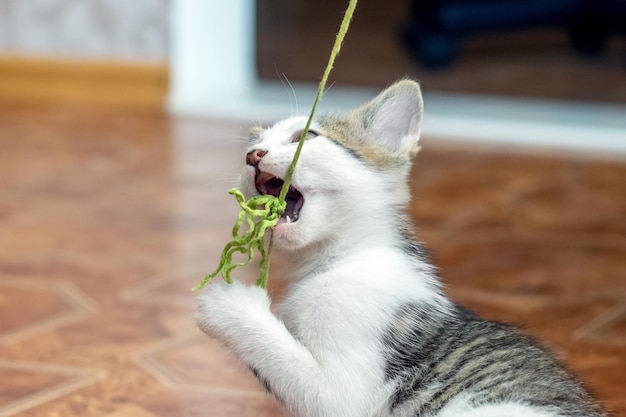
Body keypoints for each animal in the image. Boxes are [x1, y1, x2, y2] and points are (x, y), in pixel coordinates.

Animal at [196, 79, 604, 416]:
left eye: (305, 136)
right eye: (253, 145)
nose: (254, 156)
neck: (340, 257)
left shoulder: (343, 393)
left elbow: (310, 382)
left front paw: (227, 302)